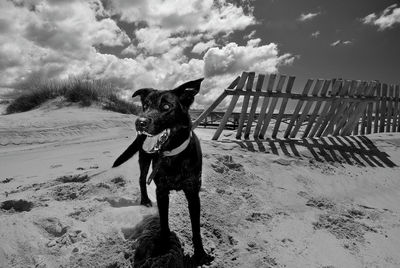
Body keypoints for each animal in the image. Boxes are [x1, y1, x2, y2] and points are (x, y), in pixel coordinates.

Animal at [112, 78, 212, 264]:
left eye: (166, 106)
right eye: (145, 105)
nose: (139, 122)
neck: (172, 155)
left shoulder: (193, 194)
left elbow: (196, 228)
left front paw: (200, 254)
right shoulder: (162, 191)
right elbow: (164, 223)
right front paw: (164, 246)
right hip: (144, 159)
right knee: (141, 179)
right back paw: (145, 199)